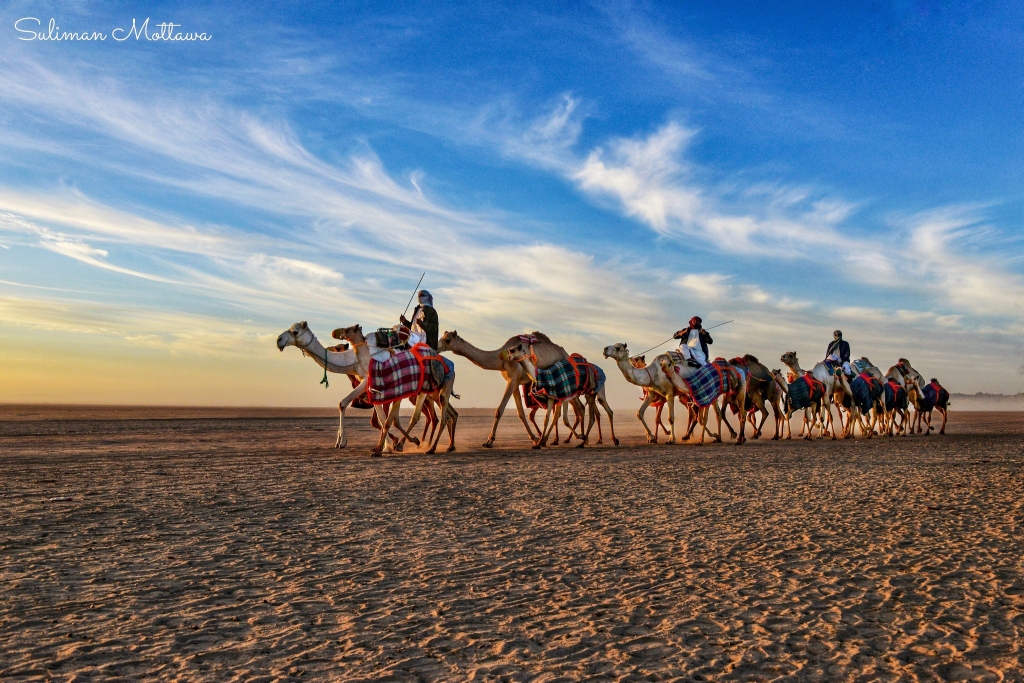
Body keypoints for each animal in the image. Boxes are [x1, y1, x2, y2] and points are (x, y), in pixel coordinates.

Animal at [333, 325, 458, 456]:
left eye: (349, 329)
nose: (338, 333)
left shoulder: (394, 394)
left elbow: (387, 422)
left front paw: (383, 449)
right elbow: (389, 421)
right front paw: (382, 447)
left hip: (439, 388)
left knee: (437, 417)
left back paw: (431, 447)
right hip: (433, 392)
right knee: (447, 415)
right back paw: (446, 446)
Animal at [436, 331, 573, 448]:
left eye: (448, 340)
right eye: (442, 337)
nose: (436, 347)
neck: (501, 359)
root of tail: (566, 354)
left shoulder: (512, 379)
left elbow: (499, 410)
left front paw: (489, 441)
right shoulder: (515, 382)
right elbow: (520, 413)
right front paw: (534, 438)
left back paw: (551, 440)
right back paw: (547, 439)